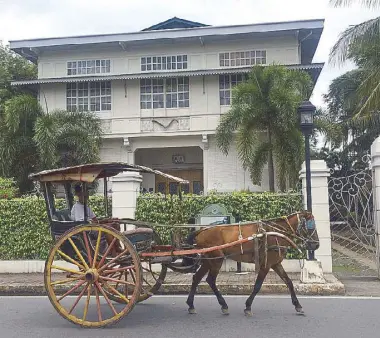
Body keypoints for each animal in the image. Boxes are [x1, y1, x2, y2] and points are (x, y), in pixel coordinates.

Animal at [182, 211, 320, 316]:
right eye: (310, 226)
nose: (316, 245)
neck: (277, 233)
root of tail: (201, 231)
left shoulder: (275, 264)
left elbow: (289, 282)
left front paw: (298, 305)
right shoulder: (266, 265)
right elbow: (257, 286)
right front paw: (248, 307)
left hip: (208, 260)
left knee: (197, 278)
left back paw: (191, 305)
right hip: (216, 259)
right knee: (210, 280)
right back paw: (223, 305)